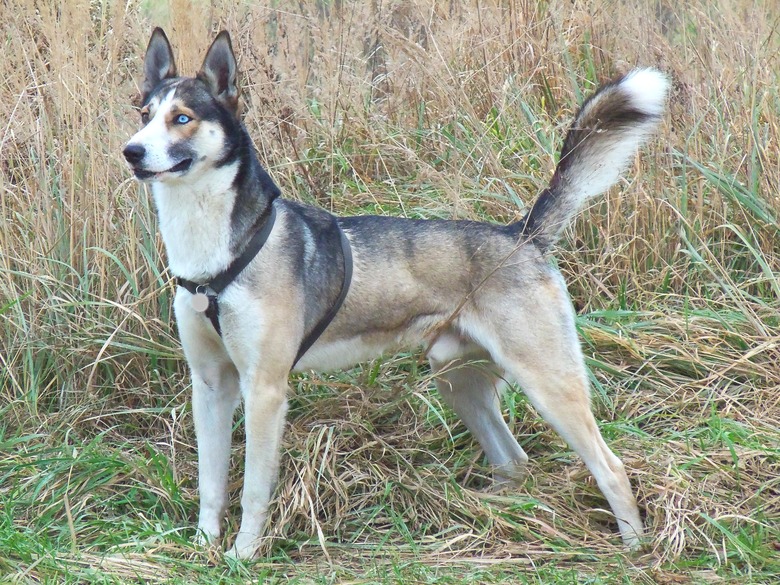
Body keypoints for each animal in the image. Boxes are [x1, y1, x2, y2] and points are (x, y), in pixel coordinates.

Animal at [123, 29, 672, 560]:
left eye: (183, 118)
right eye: (144, 115)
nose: (132, 151)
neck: (216, 257)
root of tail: (522, 235)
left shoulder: (264, 389)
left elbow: (255, 489)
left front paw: (242, 556)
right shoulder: (211, 385)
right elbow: (210, 482)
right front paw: (202, 547)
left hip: (546, 381)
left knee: (610, 467)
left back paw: (635, 547)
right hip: (457, 381)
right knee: (513, 462)